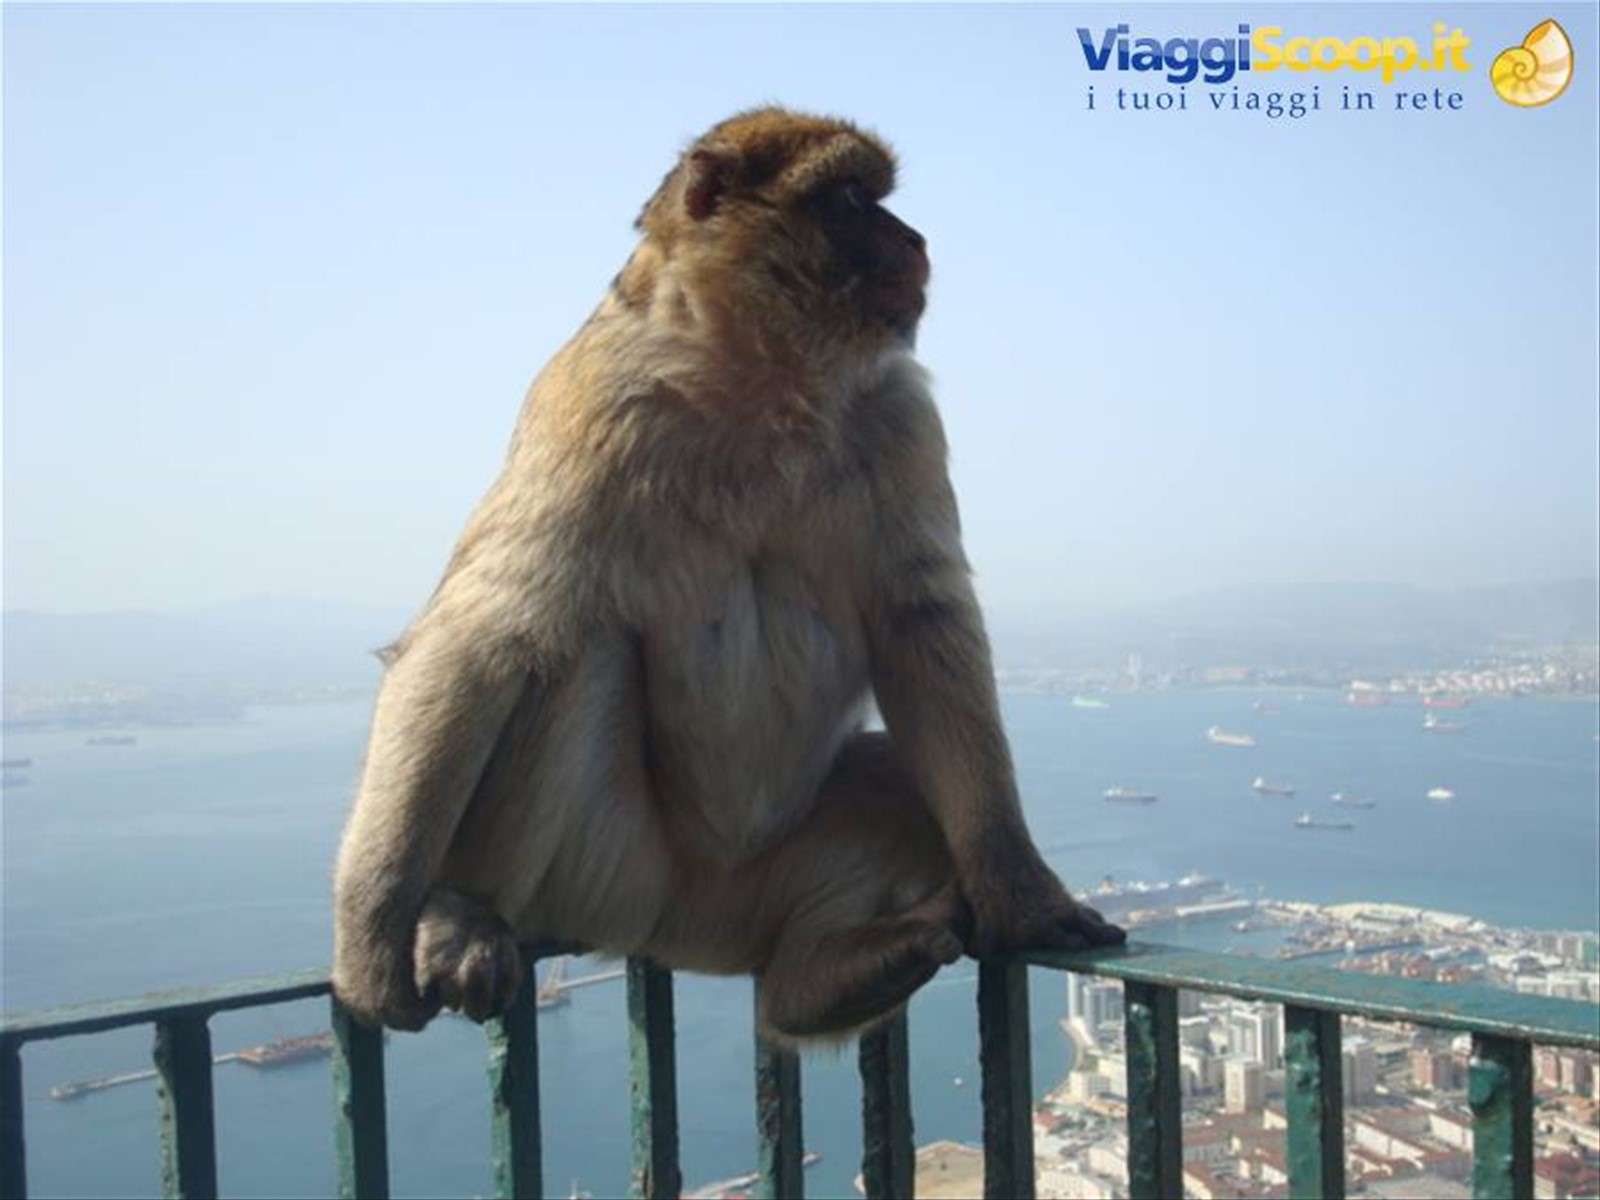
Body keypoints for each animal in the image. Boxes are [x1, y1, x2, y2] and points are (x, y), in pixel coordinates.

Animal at [332, 107, 1125, 1043]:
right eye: (851, 198)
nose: (917, 239)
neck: (761, 375)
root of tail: (678, 929)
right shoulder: (586, 400)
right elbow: (484, 631)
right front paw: (370, 935)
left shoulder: (902, 417)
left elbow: (924, 624)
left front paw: (1020, 891)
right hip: (605, 874)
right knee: (562, 651)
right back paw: (461, 911)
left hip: (754, 893)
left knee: (891, 778)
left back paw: (824, 980)